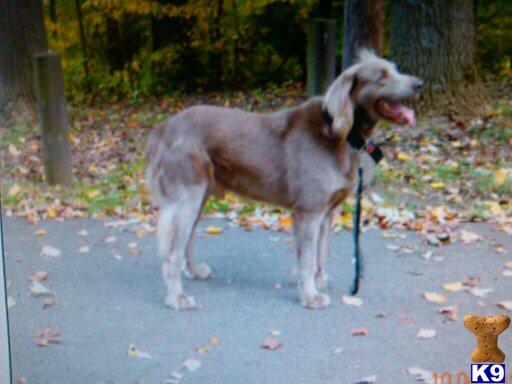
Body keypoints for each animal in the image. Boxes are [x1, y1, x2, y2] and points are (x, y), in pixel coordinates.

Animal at [146, 50, 422, 308]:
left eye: (395, 70)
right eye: (382, 78)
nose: (419, 84)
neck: (342, 134)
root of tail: (163, 129)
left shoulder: (327, 212)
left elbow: (321, 253)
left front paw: (319, 281)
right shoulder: (309, 210)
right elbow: (308, 257)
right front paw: (310, 296)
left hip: (200, 195)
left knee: (187, 240)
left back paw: (194, 271)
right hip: (186, 196)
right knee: (172, 251)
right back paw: (177, 297)